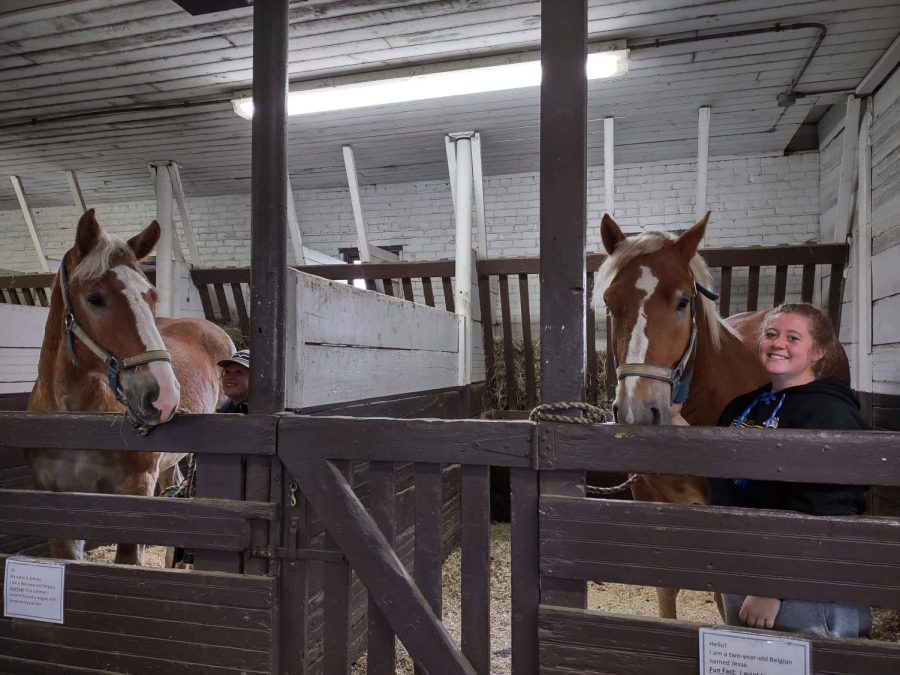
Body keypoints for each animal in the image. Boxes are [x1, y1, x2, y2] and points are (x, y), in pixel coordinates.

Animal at [26, 210, 234, 564]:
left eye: (152, 296)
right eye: (95, 298)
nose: (164, 396)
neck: (75, 421)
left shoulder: (134, 494)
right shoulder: (56, 510)